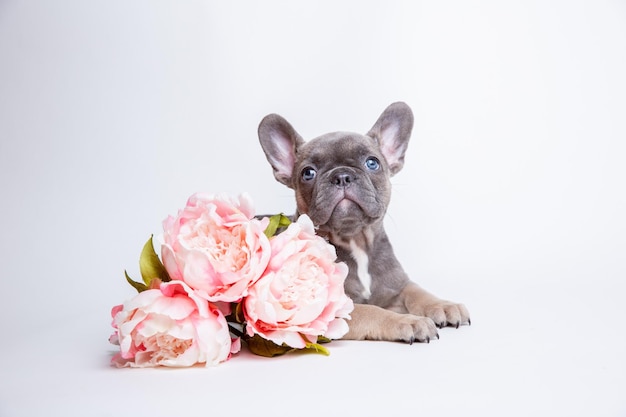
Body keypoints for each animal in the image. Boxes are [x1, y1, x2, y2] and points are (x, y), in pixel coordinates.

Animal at [256, 102, 466, 342]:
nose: (341, 176)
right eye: (308, 173)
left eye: (372, 163)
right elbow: (373, 311)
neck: (355, 240)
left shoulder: (395, 284)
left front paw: (444, 305)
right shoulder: (338, 312)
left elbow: (416, 290)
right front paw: (408, 321)